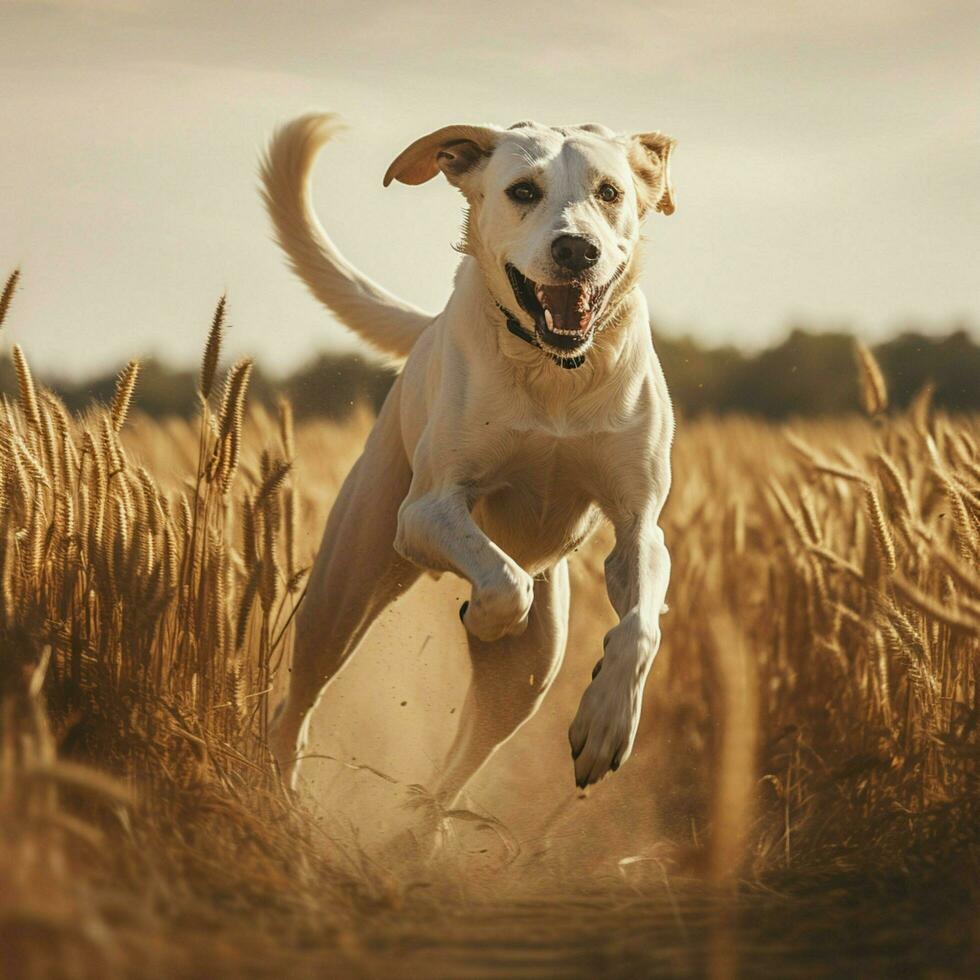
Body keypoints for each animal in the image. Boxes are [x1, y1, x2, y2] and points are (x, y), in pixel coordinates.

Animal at [260, 113, 672, 804]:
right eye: (523, 191)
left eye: (610, 192)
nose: (576, 250)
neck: (553, 371)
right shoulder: (426, 511)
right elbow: (502, 581)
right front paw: (481, 614)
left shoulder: (639, 525)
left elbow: (640, 625)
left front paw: (608, 720)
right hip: (342, 593)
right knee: (298, 703)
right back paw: (279, 794)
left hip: (531, 673)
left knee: (453, 776)